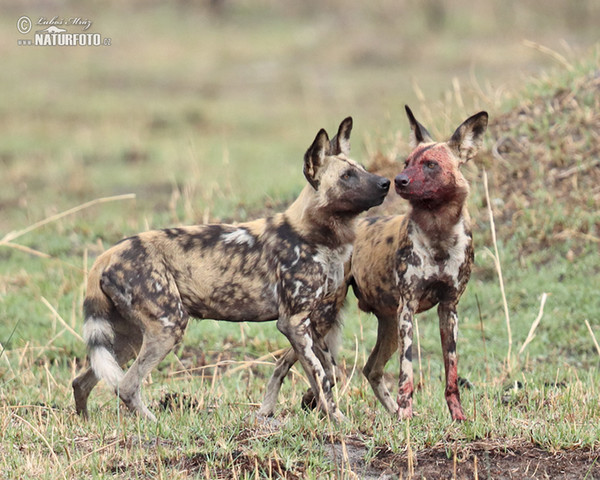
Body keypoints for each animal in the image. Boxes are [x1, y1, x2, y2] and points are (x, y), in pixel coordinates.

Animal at [72, 118, 392, 422]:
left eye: (363, 169)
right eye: (346, 176)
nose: (386, 183)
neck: (316, 234)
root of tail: (107, 254)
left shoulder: (310, 322)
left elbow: (322, 375)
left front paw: (319, 414)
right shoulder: (293, 322)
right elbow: (321, 377)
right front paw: (339, 422)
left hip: (130, 336)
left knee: (84, 381)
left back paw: (86, 421)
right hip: (167, 327)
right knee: (126, 386)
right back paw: (153, 422)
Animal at [352, 106, 488, 420]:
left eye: (430, 165)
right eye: (407, 162)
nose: (398, 180)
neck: (438, 232)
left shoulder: (449, 309)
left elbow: (452, 373)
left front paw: (458, 417)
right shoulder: (408, 308)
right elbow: (407, 372)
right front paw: (405, 416)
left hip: (388, 326)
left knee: (371, 369)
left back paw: (390, 412)